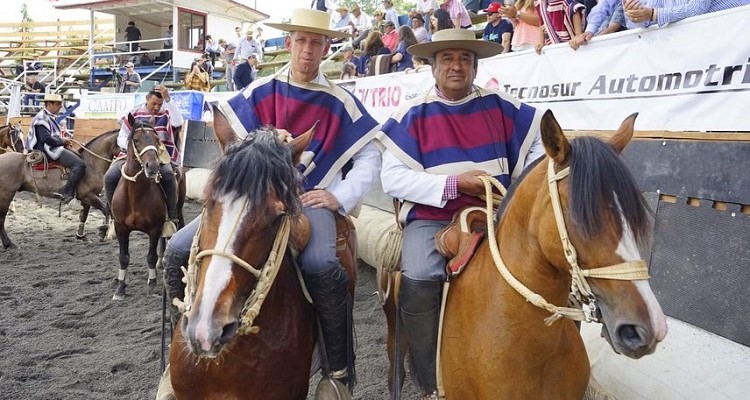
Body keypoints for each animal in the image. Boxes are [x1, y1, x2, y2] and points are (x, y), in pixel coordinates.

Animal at [108, 112, 185, 300]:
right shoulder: (120, 227)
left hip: (178, 210)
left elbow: (150, 256)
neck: (135, 195)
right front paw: (120, 288)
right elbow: (123, 257)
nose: (153, 166)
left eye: (157, 139)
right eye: (136, 140)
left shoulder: (154, 228)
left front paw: (151, 285)